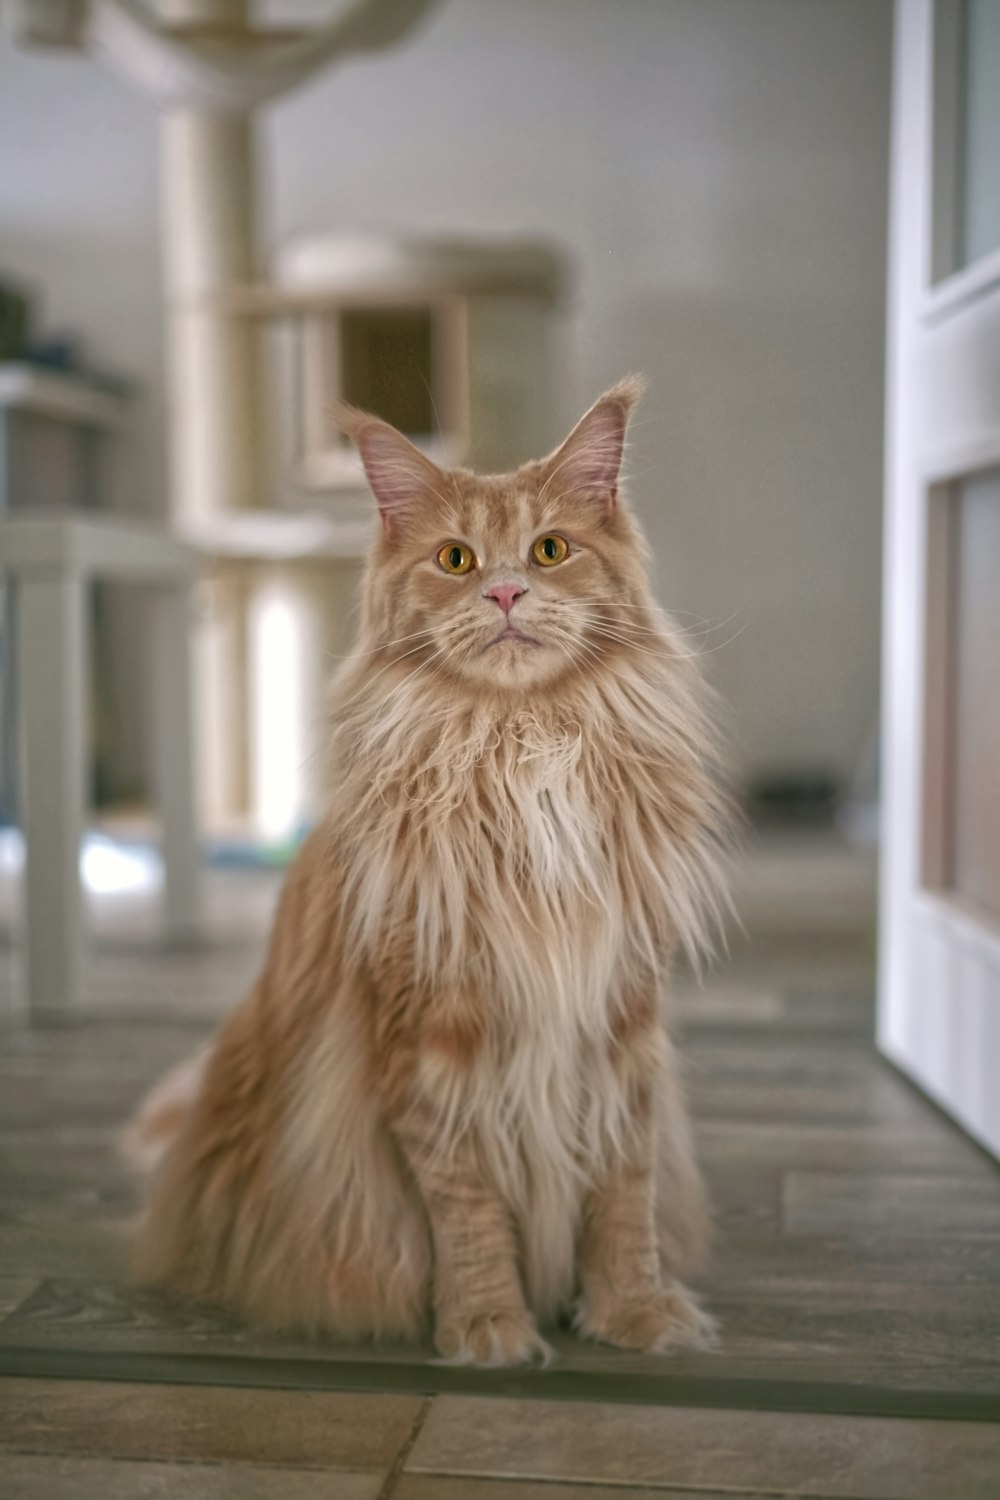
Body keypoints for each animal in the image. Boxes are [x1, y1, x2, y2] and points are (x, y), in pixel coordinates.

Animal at [128, 378, 731, 1374]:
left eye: (550, 549)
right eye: (455, 559)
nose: (506, 589)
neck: (522, 751)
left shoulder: (622, 1022)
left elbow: (624, 1191)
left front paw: (636, 1313)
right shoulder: (427, 1040)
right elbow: (468, 1207)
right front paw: (489, 1327)